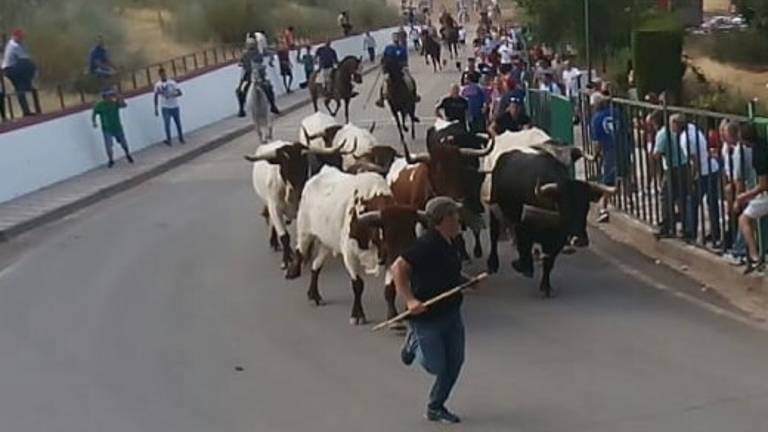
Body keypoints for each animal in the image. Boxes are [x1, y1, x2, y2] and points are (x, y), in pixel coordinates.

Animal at [488, 149, 616, 296]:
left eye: (586, 206)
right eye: (564, 205)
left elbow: (549, 262)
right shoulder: (524, 228)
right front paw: (523, 267)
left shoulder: (558, 240)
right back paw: (492, 264)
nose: (579, 240)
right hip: (494, 206)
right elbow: (524, 250)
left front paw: (546, 286)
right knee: (494, 235)